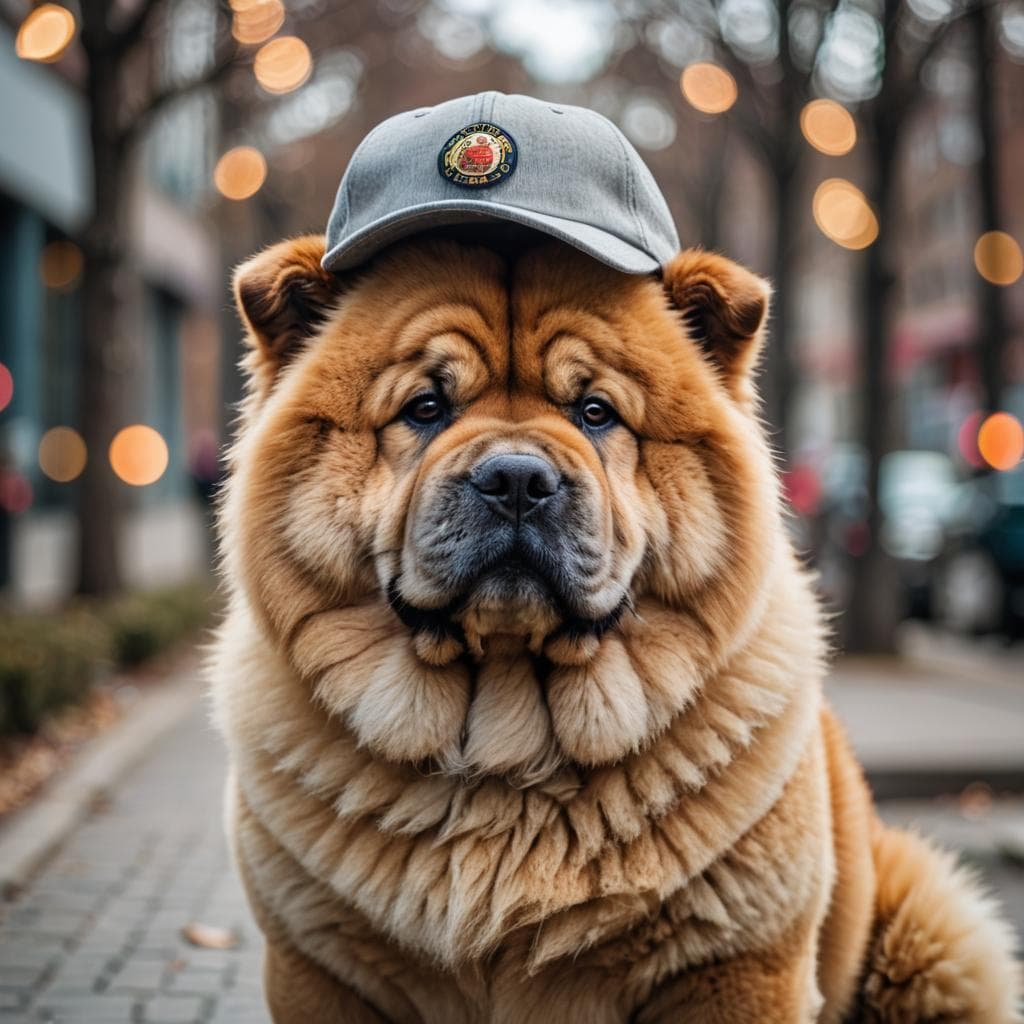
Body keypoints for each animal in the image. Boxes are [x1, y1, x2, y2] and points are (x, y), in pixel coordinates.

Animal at [211, 234, 1019, 1024]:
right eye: (426, 406)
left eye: (596, 412)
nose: (516, 479)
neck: (508, 754)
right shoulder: (321, 968)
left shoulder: (735, 969)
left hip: (928, 935)